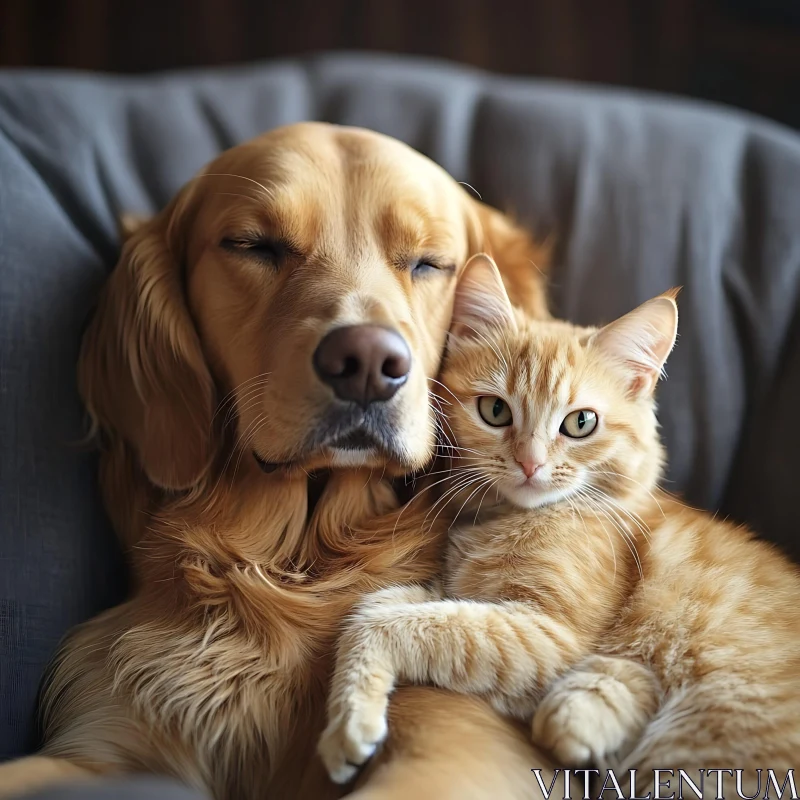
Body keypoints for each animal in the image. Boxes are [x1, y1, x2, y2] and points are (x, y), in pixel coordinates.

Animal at [0, 122, 560, 796]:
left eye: (430, 263)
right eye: (254, 246)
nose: (367, 363)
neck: (299, 559)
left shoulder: (464, 739)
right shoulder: (108, 744)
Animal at [318, 253, 800, 792]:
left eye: (580, 423)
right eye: (495, 410)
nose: (530, 464)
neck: (512, 521)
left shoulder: (548, 636)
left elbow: (398, 625)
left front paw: (347, 727)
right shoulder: (456, 590)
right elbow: (371, 609)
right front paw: (349, 714)